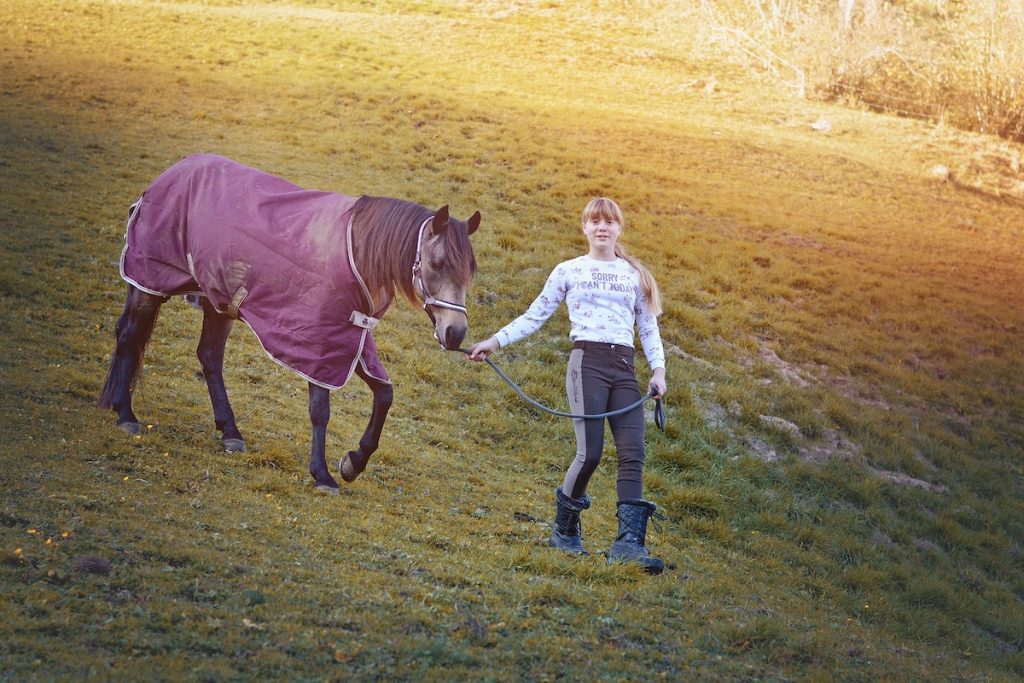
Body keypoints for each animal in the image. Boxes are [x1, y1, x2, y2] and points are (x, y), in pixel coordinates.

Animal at [97, 154, 481, 491]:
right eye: (438, 264)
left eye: (470, 270)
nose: (455, 333)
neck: (357, 252)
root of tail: (172, 172)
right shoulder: (319, 343)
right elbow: (320, 410)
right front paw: (322, 474)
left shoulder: (352, 338)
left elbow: (384, 394)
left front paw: (353, 462)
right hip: (152, 280)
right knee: (130, 335)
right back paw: (126, 414)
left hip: (220, 302)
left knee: (208, 357)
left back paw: (230, 433)